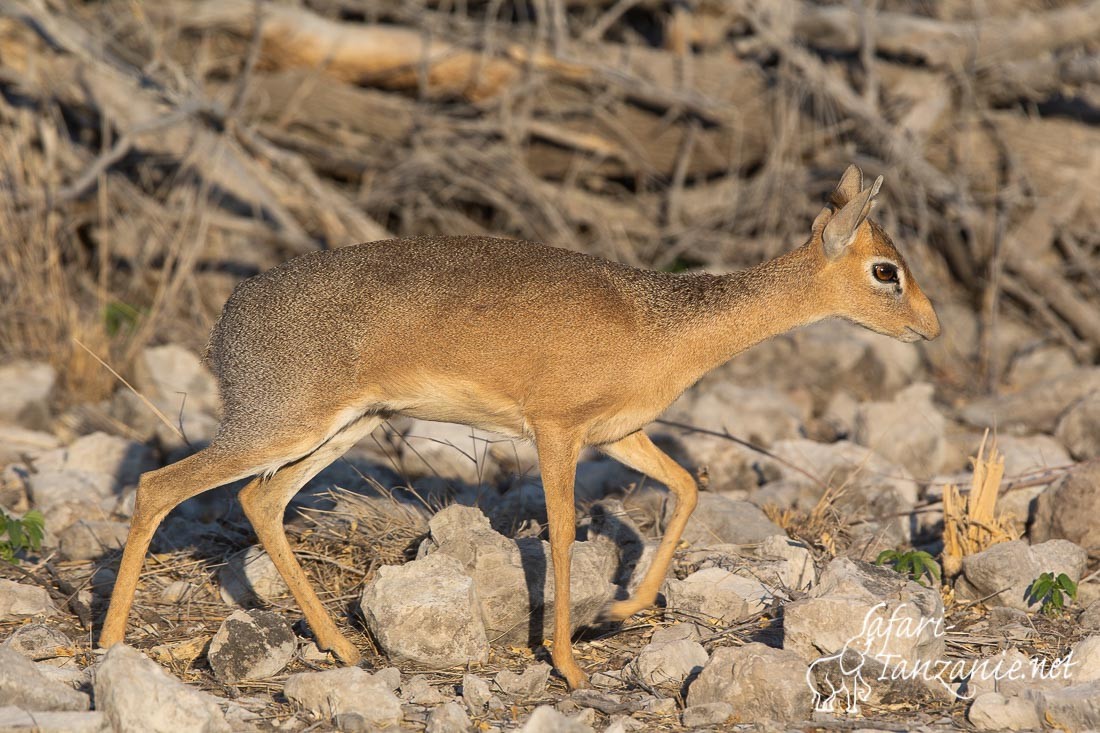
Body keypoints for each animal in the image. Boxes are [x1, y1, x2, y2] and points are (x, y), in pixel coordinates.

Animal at [101, 163, 937, 686]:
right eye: (885, 271)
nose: (929, 326)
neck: (665, 323)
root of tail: (228, 316)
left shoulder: (618, 433)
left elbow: (688, 487)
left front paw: (624, 608)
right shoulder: (554, 430)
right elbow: (562, 535)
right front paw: (566, 662)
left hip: (344, 426)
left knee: (259, 499)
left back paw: (340, 645)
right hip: (280, 424)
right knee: (159, 484)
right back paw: (108, 642)